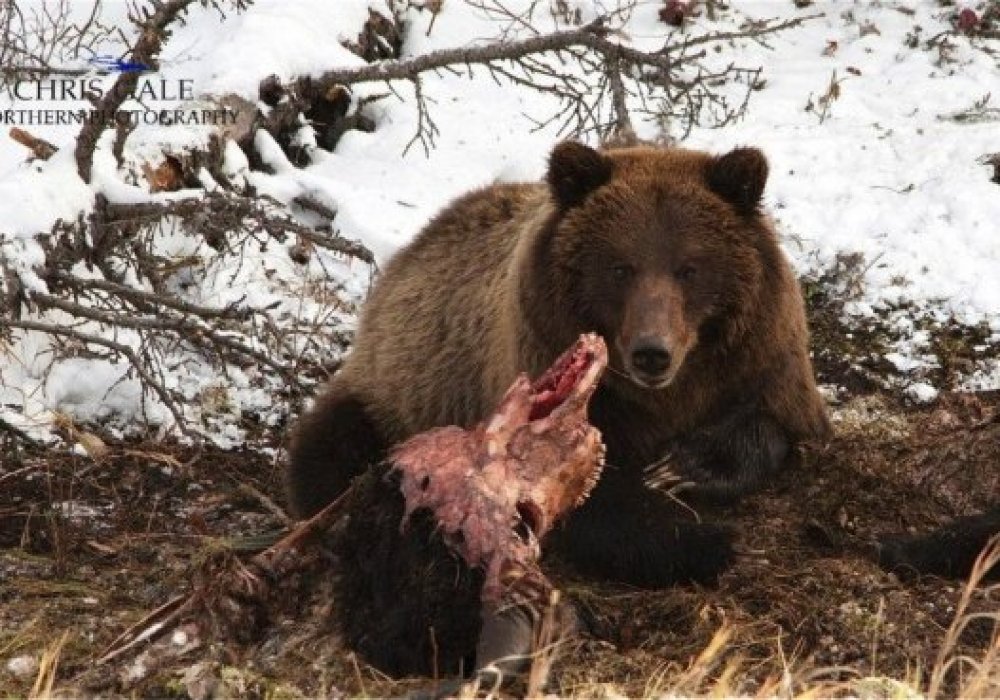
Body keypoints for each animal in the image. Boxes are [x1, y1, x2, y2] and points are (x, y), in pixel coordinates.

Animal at [288, 141, 828, 592]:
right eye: (620, 267)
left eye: (690, 267)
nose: (652, 352)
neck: (669, 392)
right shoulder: (545, 369)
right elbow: (584, 497)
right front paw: (700, 540)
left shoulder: (759, 360)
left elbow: (775, 426)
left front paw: (683, 467)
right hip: (395, 385)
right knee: (330, 446)